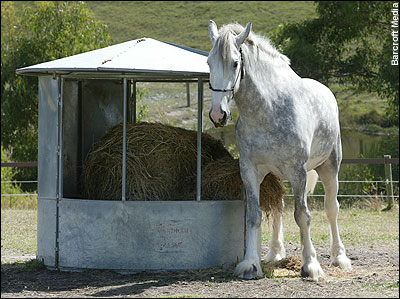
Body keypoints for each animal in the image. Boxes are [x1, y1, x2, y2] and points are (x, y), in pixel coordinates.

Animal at [208, 20, 352, 282]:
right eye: (209, 63)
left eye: (235, 63)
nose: (217, 115)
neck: (268, 109)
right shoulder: (250, 171)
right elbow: (254, 215)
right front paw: (250, 263)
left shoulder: (298, 172)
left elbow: (303, 216)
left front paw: (311, 265)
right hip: (276, 174)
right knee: (278, 208)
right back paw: (275, 253)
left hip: (329, 168)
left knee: (331, 209)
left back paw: (339, 257)